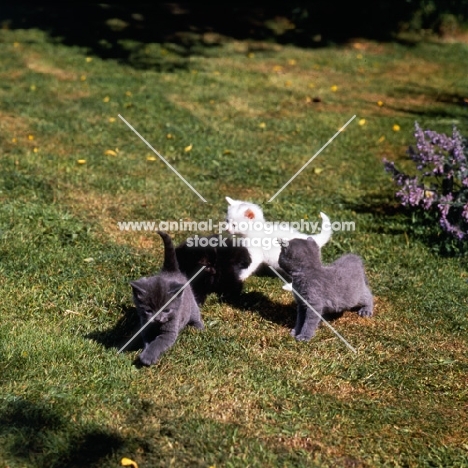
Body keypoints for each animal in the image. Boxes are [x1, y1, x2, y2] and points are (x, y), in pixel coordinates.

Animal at [130, 230, 203, 366]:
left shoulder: (170, 332)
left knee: (196, 315)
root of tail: (171, 271)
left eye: (167, 310)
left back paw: (199, 328)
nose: (158, 318)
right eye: (149, 310)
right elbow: (148, 341)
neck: (157, 326)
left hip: (192, 305)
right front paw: (146, 352)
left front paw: (147, 357)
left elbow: (158, 343)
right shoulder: (146, 329)